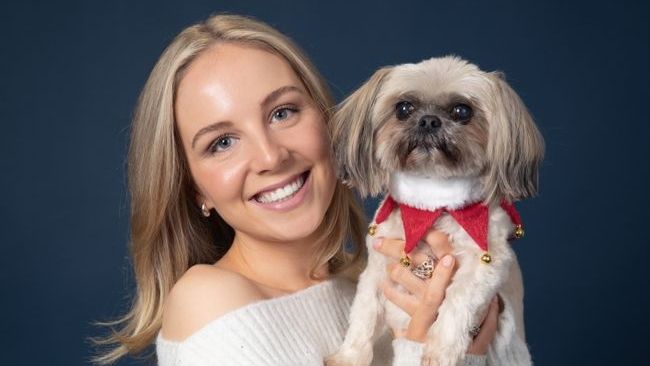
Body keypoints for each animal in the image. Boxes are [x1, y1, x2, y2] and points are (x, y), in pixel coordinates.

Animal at [324, 55, 540, 366]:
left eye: (462, 111)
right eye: (404, 108)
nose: (428, 121)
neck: (432, 207)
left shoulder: (487, 263)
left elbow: (458, 299)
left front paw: (441, 350)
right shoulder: (377, 268)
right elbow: (363, 316)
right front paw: (349, 357)